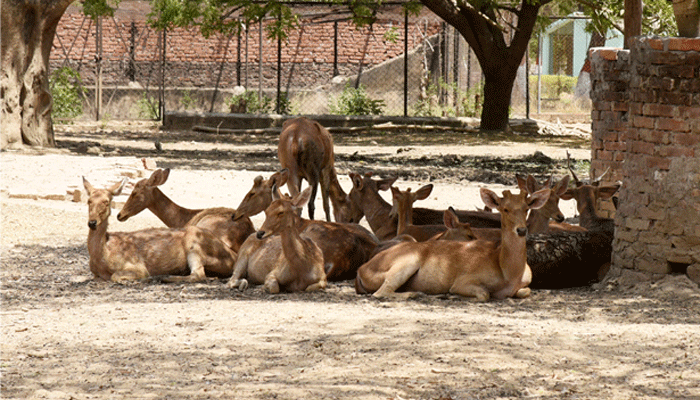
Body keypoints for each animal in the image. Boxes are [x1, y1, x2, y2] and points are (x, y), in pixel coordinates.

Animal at [83, 177, 237, 282]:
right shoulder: (95, 273)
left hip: (194, 241)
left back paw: (164, 277)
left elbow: (116, 276)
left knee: (198, 274)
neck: (103, 255)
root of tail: (234, 257)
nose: (92, 223)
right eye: (89, 201)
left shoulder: (136, 265)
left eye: (106, 201)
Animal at [356, 188, 552, 300]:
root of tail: (361, 270)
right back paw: (417, 294)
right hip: (406, 261)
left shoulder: (524, 286)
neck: (510, 272)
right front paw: (452, 296)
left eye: (527, 208)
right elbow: (484, 294)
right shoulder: (464, 280)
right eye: (505, 209)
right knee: (381, 292)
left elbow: (526, 292)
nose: (521, 230)